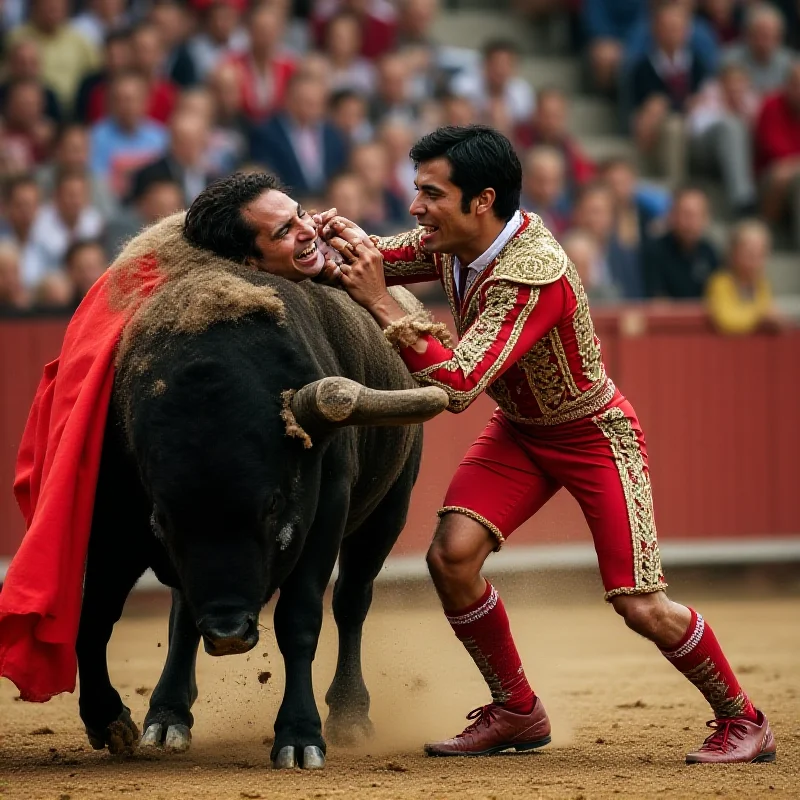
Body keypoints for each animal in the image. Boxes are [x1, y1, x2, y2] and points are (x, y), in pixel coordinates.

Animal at [76, 212, 446, 768]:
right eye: (161, 517)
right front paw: (110, 718)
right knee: (183, 612)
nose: (228, 633)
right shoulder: (114, 514)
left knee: (352, 600)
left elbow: (300, 620)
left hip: (389, 512)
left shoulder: (326, 510)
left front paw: (299, 735)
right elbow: (95, 614)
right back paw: (167, 713)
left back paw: (350, 714)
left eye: (273, 504)